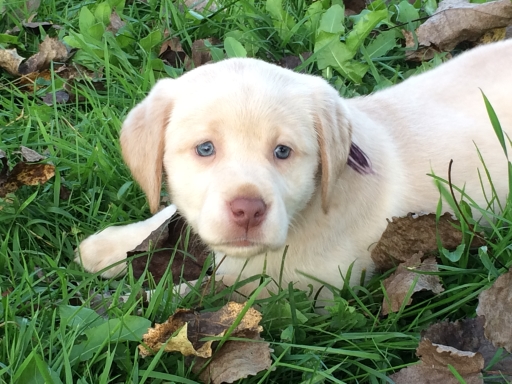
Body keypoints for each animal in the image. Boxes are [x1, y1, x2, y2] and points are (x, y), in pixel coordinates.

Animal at [75, 39, 512, 296]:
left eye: (283, 152)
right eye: (205, 148)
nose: (248, 210)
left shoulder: (297, 291)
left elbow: (202, 295)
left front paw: (126, 309)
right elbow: (168, 213)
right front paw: (107, 247)